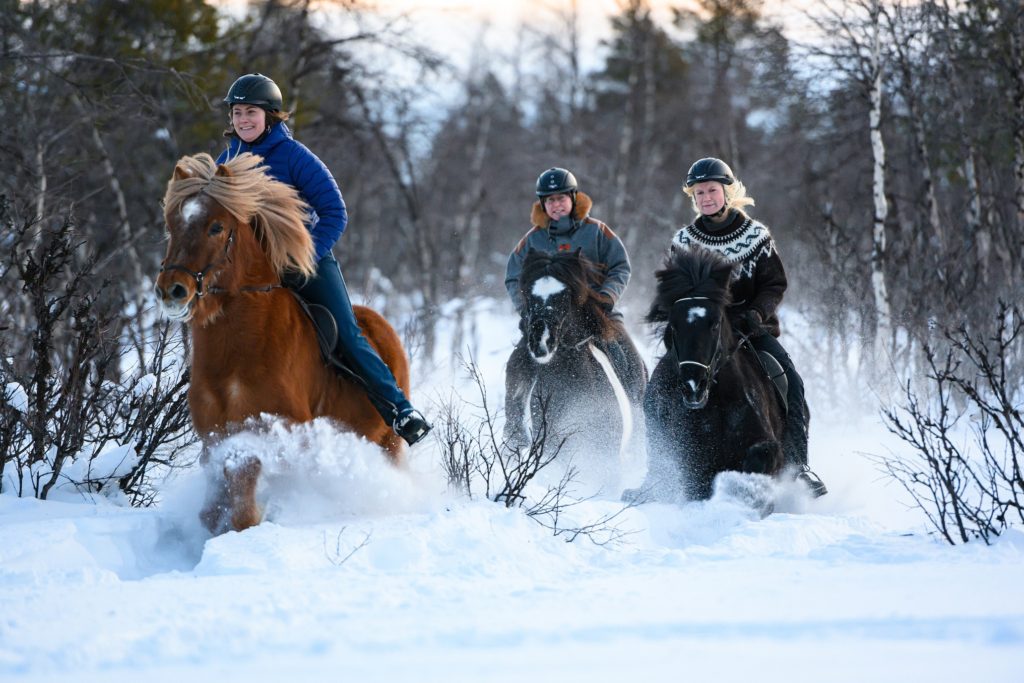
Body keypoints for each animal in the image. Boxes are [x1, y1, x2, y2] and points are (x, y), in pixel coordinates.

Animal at [153, 153, 409, 532]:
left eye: (216, 227)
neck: (236, 353)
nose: (172, 289)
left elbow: (244, 485)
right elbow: (213, 506)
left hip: (388, 443)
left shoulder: (274, 430)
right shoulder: (214, 435)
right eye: (171, 225)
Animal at [638, 242, 790, 499]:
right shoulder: (693, 461)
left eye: (715, 324)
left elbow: (760, 456)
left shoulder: (770, 449)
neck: (720, 403)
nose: (693, 387)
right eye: (674, 326)